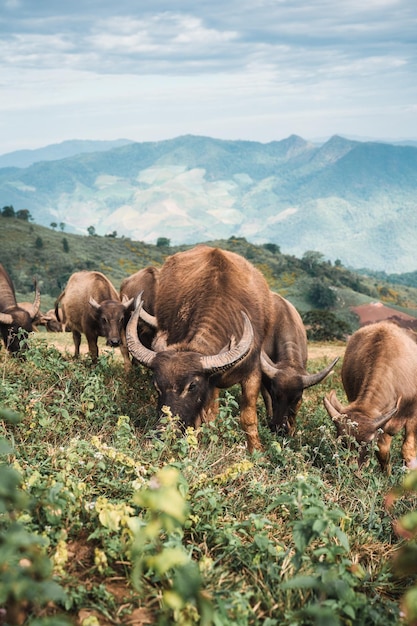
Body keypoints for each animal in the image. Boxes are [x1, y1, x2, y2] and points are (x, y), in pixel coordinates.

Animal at [324, 320, 417, 470]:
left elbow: (408, 450)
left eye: (367, 443)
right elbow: (383, 452)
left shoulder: (413, 416)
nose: (353, 470)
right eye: (343, 441)